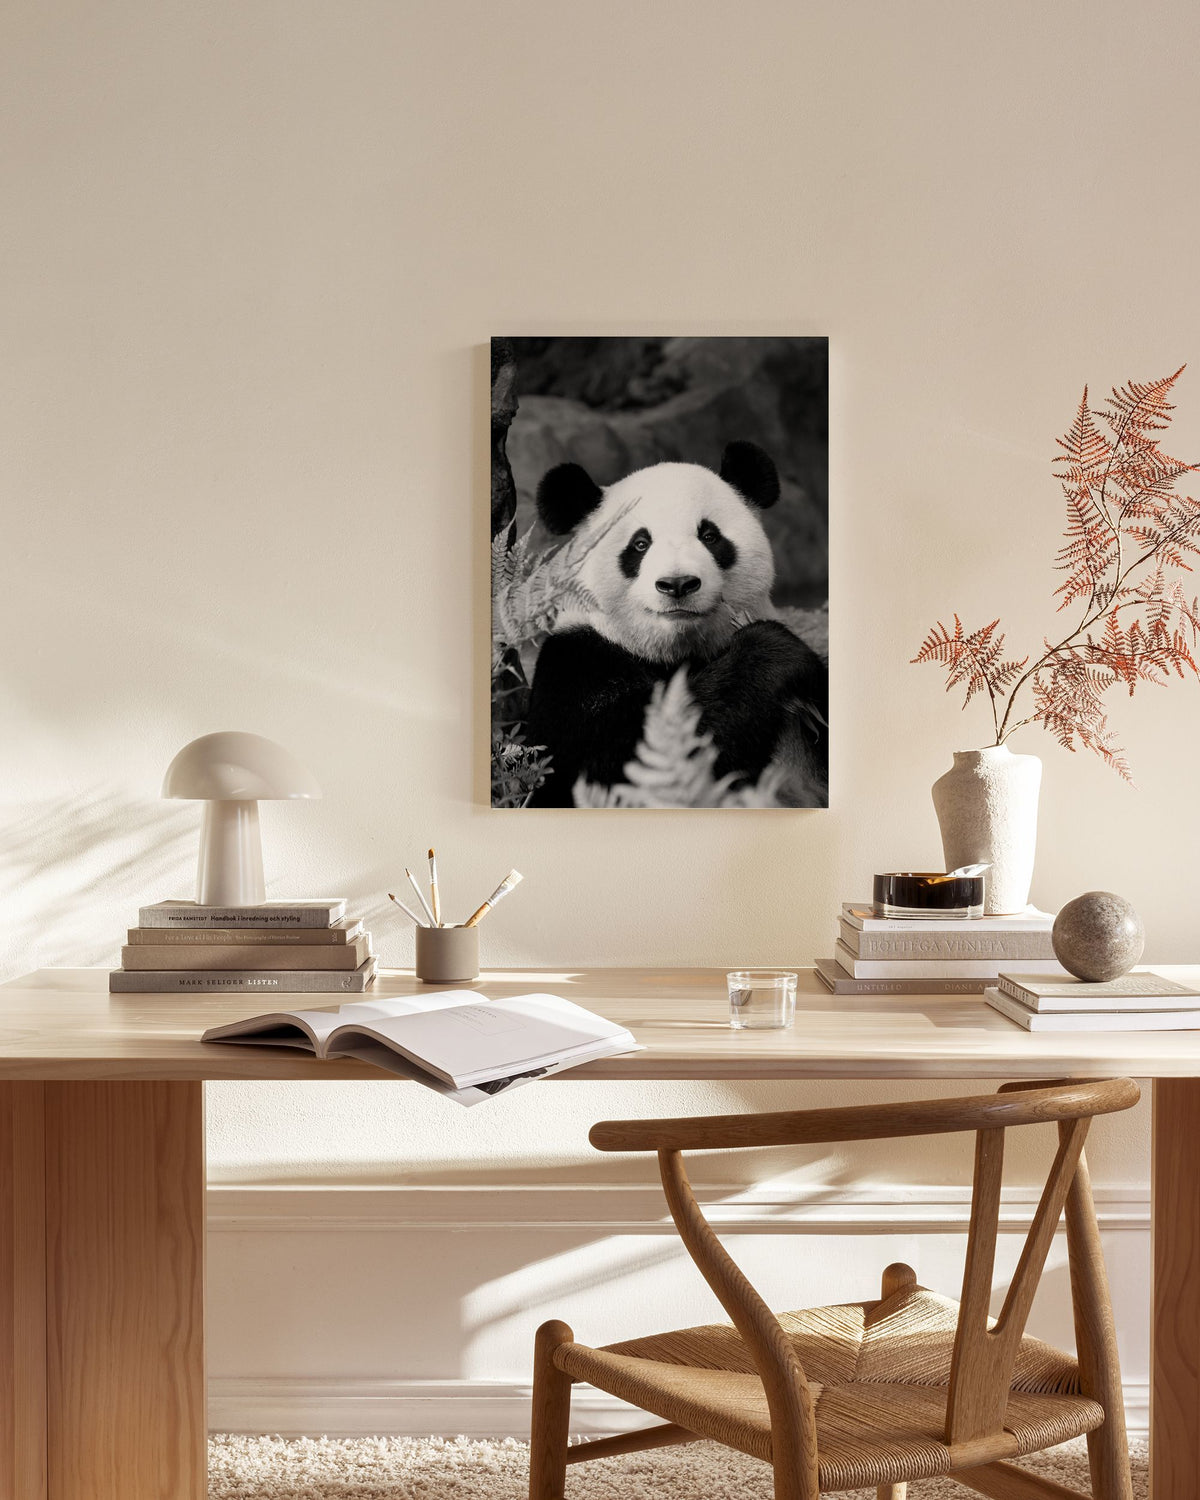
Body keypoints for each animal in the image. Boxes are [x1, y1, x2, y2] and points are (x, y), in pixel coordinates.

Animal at [525, 441, 827, 807]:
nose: (678, 583)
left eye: (709, 535)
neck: (676, 652)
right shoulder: (575, 664)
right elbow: (617, 761)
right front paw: (771, 651)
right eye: (640, 544)